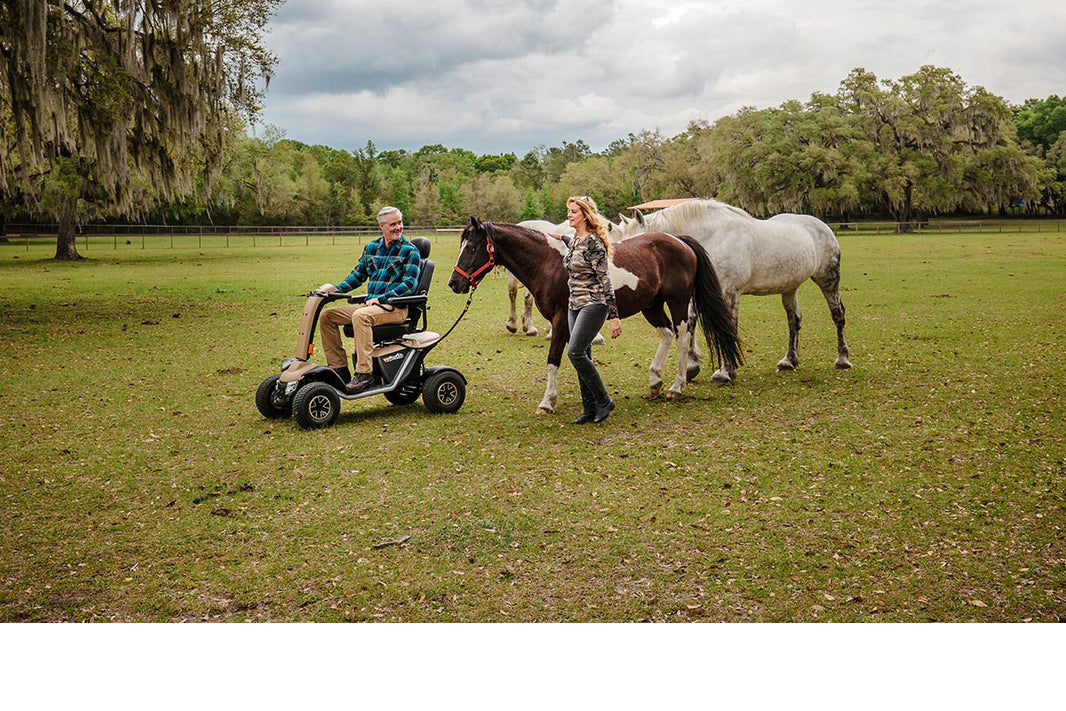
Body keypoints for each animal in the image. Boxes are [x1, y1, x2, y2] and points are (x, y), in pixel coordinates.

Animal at [443, 219, 741, 413]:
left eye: (472, 248)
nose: (454, 283)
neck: (548, 263)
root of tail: (680, 241)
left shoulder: (561, 320)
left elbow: (553, 360)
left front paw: (548, 402)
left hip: (677, 302)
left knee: (681, 337)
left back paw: (677, 387)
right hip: (651, 306)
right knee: (667, 334)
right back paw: (655, 380)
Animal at [618, 197, 848, 381]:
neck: (712, 236)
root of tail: (822, 226)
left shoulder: (729, 293)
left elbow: (728, 326)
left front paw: (725, 371)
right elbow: (691, 323)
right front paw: (692, 367)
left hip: (828, 280)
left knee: (837, 315)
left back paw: (842, 359)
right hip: (789, 288)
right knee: (794, 321)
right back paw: (789, 360)